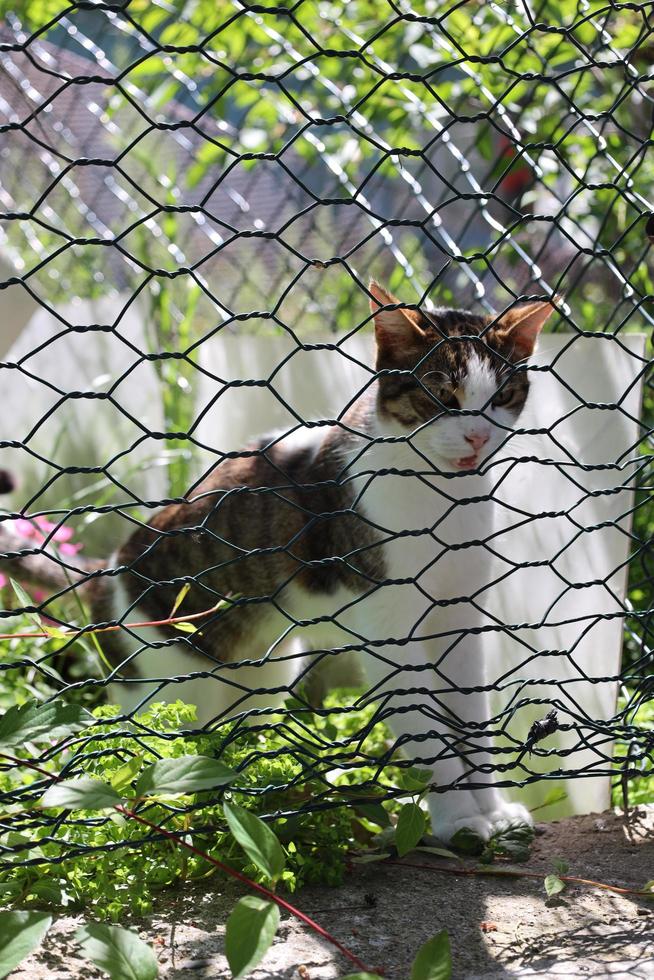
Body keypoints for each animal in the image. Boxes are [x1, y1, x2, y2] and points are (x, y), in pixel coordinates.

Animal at [0, 284, 556, 844]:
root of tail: (104, 574)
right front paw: (459, 820)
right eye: (443, 397)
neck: (443, 500)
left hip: (265, 675)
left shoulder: (460, 618)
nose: (477, 438)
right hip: (166, 689)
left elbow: (471, 716)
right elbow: (428, 729)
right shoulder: (389, 631)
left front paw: (493, 809)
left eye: (501, 398)